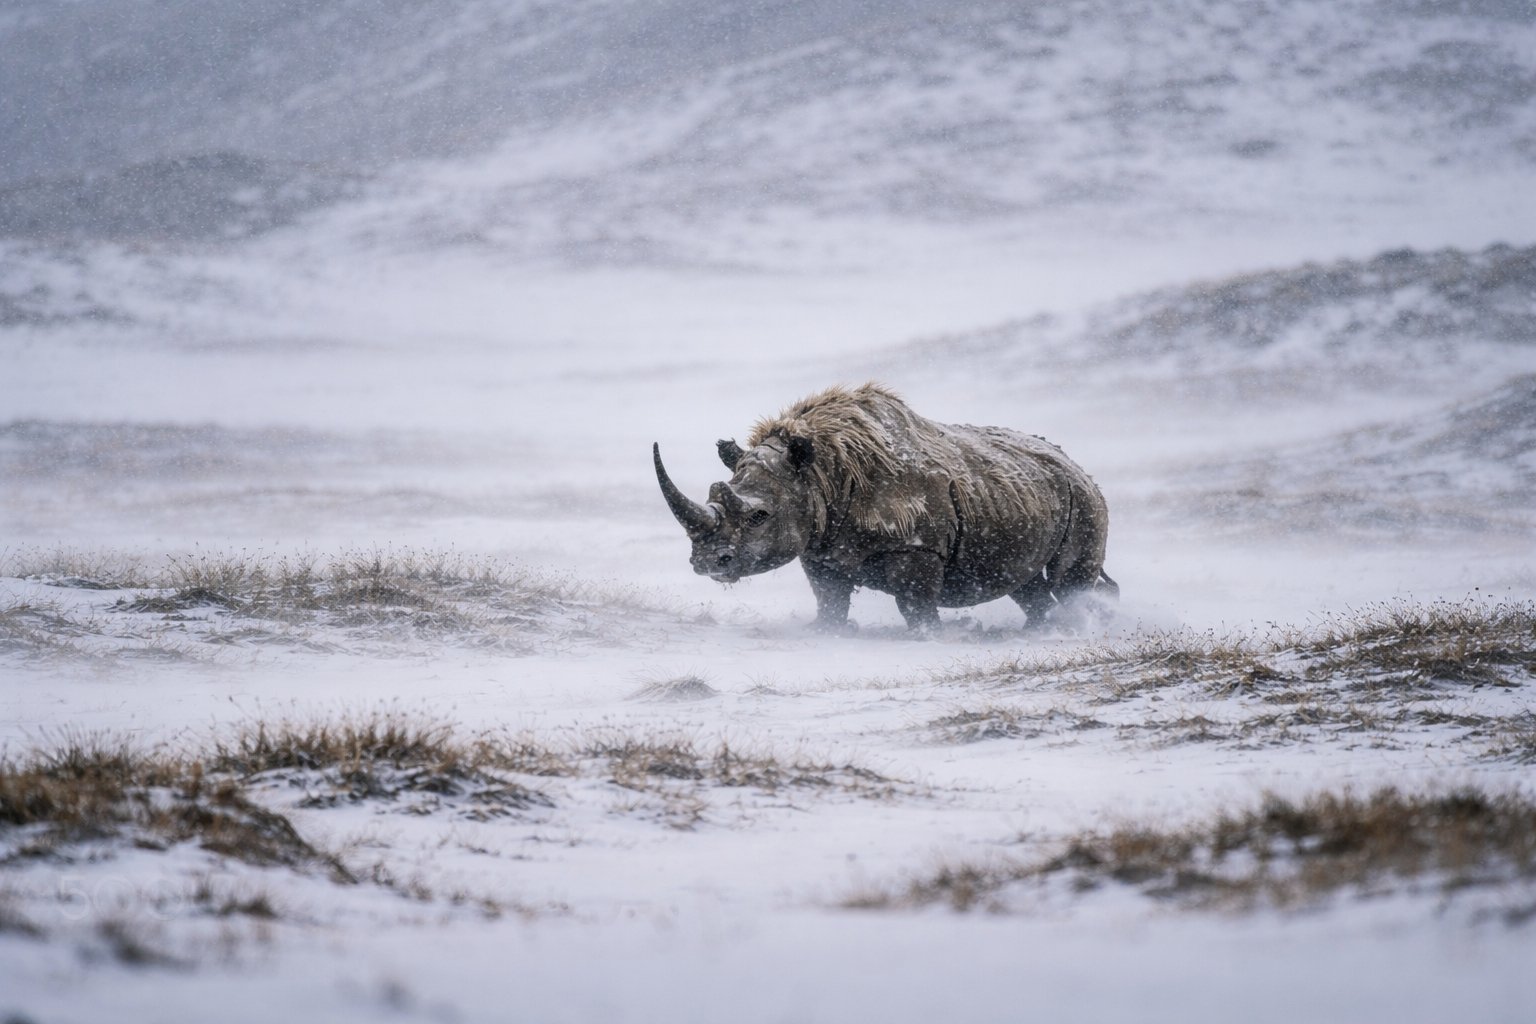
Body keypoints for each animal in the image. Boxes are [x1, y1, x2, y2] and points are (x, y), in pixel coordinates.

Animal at [653, 383, 1116, 632]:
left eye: (758, 516)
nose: (707, 563)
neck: (821, 472)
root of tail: (1077, 466)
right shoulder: (820, 548)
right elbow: (830, 598)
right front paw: (829, 631)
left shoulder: (917, 547)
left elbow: (915, 603)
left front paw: (932, 635)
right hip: (1029, 493)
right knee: (1026, 585)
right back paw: (1039, 629)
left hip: (1084, 499)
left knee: (1068, 581)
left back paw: (1073, 627)